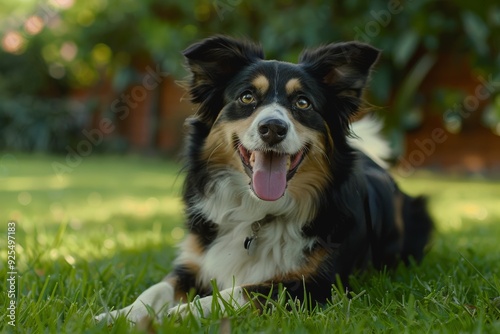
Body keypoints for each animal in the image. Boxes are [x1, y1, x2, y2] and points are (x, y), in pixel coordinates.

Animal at [95, 35, 432, 322]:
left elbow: (233, 293)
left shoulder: (314, 285)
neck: (259, 213)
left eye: (303, 102)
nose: (272, 128)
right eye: (247, 97)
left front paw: (174, 316)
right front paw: (115, 316)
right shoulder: (193, 263)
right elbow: (154, 291)